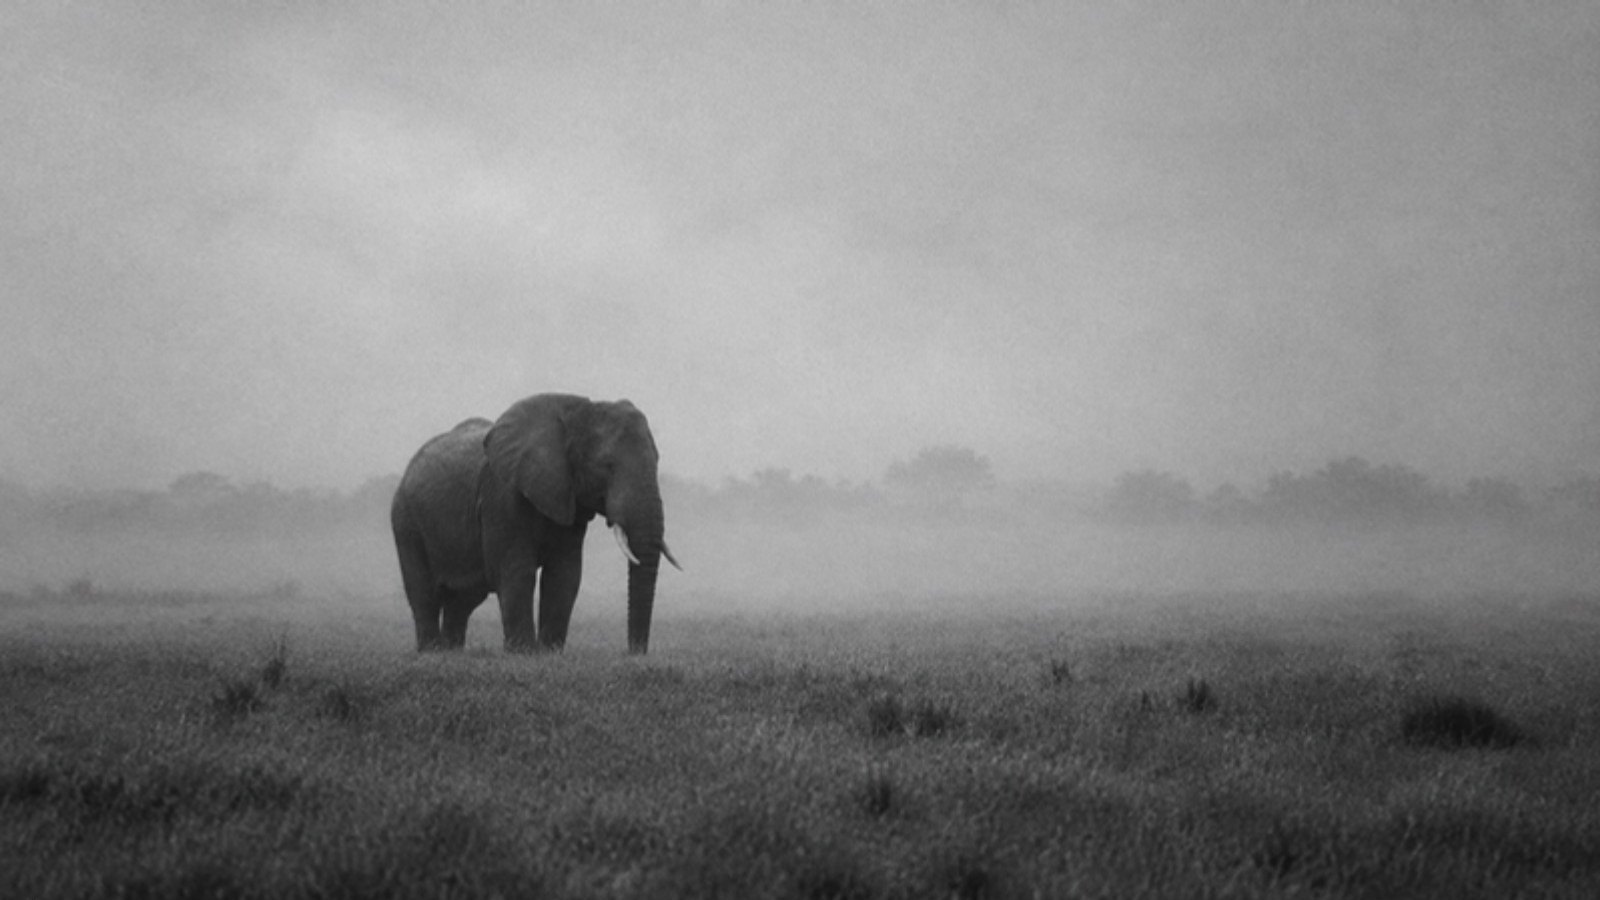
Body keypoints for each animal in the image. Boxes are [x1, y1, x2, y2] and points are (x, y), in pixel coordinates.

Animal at [390, 394, 678, 654]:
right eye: (606, 466)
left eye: (658, 460)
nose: (634, 653)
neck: (578, 410)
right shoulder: (503, 495)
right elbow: (517, 569)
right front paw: (523, 654)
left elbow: (564, 574)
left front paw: (549, 653)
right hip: (406, 522)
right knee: (424, 593)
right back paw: (432, 651)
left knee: (463, 599)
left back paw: (452, 653)